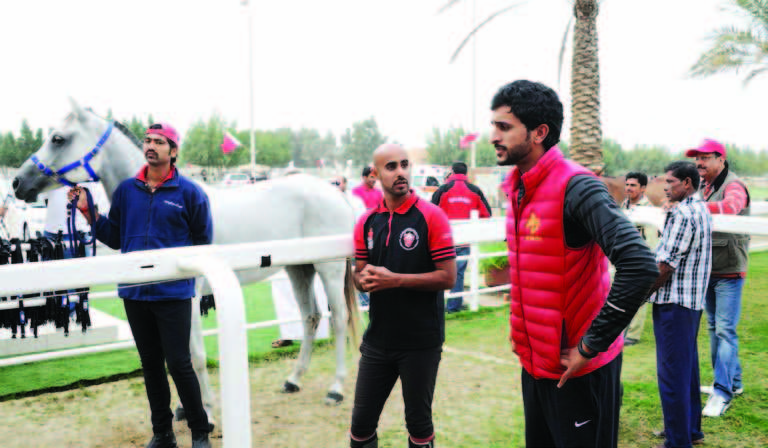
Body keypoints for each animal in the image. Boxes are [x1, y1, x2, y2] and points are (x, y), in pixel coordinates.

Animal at [11, 100, 360, 406]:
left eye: (58, 138)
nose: (16, 182)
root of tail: (333, 190)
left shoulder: (188, 298)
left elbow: (194, 355)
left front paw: (206, 407)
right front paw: (185, 407)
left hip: (329, 269)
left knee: (339, 319)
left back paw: (336, 389)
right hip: (299, 268)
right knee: (311, 317)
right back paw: (293, 380)